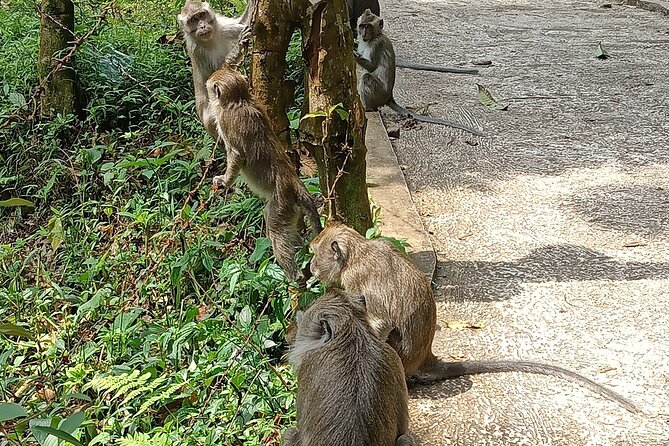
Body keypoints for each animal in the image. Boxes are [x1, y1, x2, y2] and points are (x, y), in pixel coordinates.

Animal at [176, 0, 252, 139]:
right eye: (193, 20)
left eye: (201, 15)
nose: (202, 26)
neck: (210, 39)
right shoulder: (197, 51)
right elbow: (215, 76)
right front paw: (237, 47)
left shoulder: (222, 25)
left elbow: (243, 23)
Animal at [207, 64, 322, 280]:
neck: (240, 99)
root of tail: (294, 183)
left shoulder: (225, 121)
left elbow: (236, 155)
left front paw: (225, 181)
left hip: (281, 204)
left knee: (274, 225)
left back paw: (295, 275)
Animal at [310, 220, 640, 414]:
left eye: (315, 254)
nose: (310, 266)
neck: (357, 253)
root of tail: (425, 356)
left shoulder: (356, 278)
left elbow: (381, 321)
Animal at [352, 8, 482, 137]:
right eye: (362, 26)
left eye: (368, 27)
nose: (363, 34)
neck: (375, 36)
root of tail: (389, 97)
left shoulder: (376, 45)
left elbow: (372, 67)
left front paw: (354, 54)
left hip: (379, 94)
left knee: (366, 77)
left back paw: (368, 108)